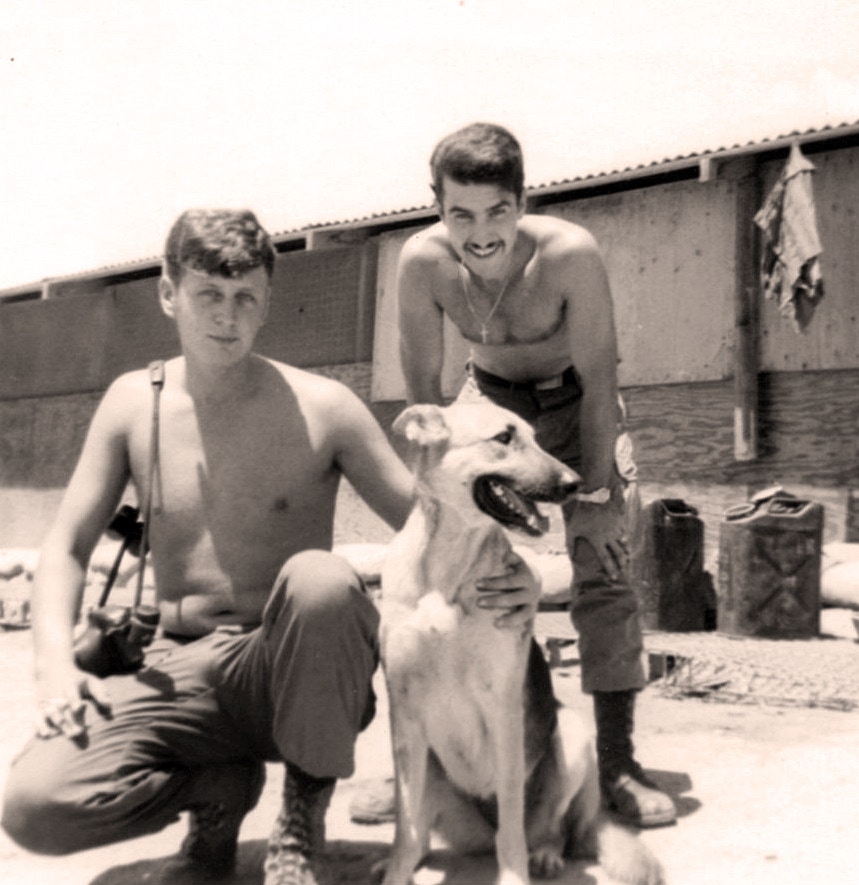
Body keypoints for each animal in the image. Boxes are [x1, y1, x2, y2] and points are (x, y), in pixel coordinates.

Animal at [379, 401, 664, 885]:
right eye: (504, 438)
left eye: (536, 437)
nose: (573, 484)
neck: (448, 571)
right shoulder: (405, 715)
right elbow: (406, 824)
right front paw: (397, 871)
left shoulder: (503, 708)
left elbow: (512, 825)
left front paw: (515, 875)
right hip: (430, 768)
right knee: (420, 831)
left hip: (571, 735)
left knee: (549, 829)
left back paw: (545, 854)